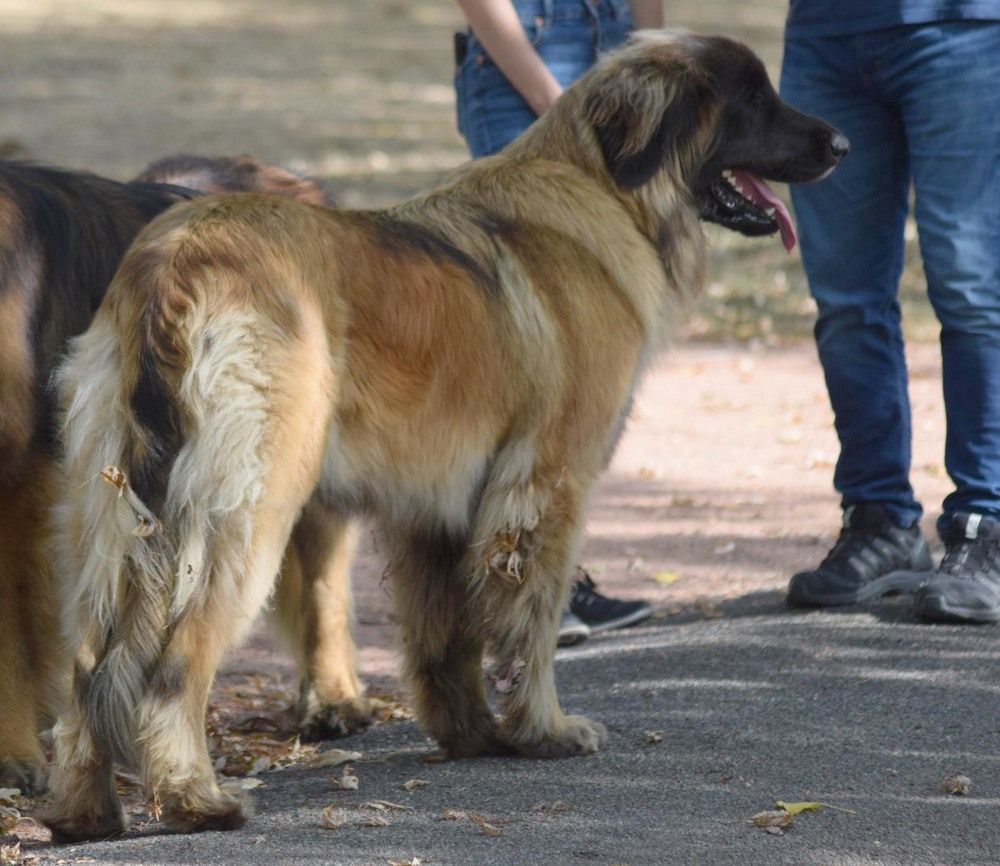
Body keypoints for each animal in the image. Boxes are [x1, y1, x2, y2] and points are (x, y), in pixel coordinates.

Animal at [45, 33, 844, 836]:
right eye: (752, 99)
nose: (840, 143)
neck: (604, 186)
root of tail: (178, 260)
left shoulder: (437, 505)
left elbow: (446, 639)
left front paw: (473, 736)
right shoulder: (549, 482)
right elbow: (533, 622)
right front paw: (545, 731)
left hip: (115, 516)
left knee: (86, 665)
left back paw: (85, 812)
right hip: (251, 508)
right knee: (175, 661)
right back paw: (195, 799)